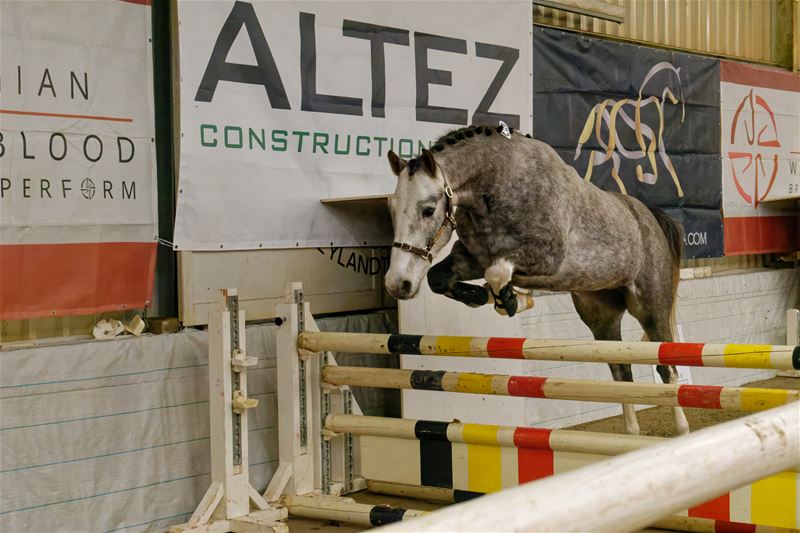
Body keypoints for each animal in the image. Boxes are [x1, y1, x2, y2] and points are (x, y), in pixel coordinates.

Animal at [384, 124, 689, 436]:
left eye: (428, 210)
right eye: (391, 208)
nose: (397, 284)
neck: (499, 185)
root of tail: (649, 217)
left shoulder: (546, 256)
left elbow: (498, 272)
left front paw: (512, 300)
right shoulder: (472, 258)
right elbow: (440, 278)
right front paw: (492, 297)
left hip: (650, 308)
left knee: (666, 368)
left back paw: (681, 430)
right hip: (601, 316)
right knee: (621, 371)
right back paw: (631, 433)